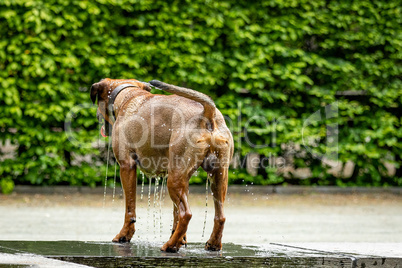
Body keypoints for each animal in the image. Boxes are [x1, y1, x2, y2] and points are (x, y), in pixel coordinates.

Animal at [88, 78, 232, 252]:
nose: (97, 116)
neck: (128, 95)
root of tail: (208, 112)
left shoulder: (127, 166)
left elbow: (130, 208)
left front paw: (124, 235)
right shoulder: (185, 177)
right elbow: (175, 215)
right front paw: (181, 239)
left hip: (174, 179)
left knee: (186, 214)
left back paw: (170, 246)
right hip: (215, 176)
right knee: (220, 216)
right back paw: (212, 244)